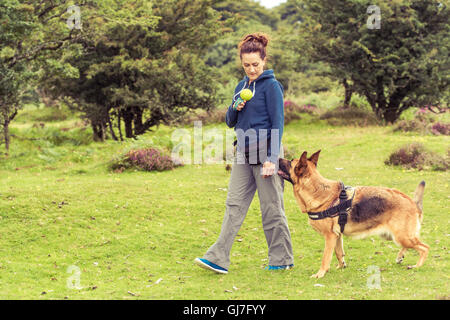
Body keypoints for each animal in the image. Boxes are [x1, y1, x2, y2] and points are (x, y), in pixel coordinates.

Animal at [278, 150, 428, 278]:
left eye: (290, 161)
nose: (277, 158)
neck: (317, 191)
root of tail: (413, 203)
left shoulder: (329, 236)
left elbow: (325, 257)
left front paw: (320, 274)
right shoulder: (337, 236)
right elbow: (339, 253)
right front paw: (341, 266)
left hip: (400, 236)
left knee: (424, 248)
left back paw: (417, 266)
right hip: (393, 236)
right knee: (412, 245)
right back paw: (400, 257)